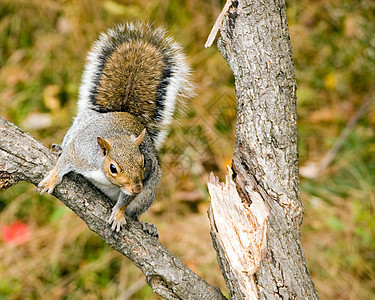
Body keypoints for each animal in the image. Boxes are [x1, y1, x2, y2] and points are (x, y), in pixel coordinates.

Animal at [38, 22, 194, 236]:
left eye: (143, 162)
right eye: (113, 168)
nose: (137, 188)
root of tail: (125, 113)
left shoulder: (143, 179)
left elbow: (125, 201)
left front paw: (119, 214)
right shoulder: (80, 153)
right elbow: (63, 162)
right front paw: (52, 179)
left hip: (148, 194)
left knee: (136, 212)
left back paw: (146, 225)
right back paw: (59, 147)